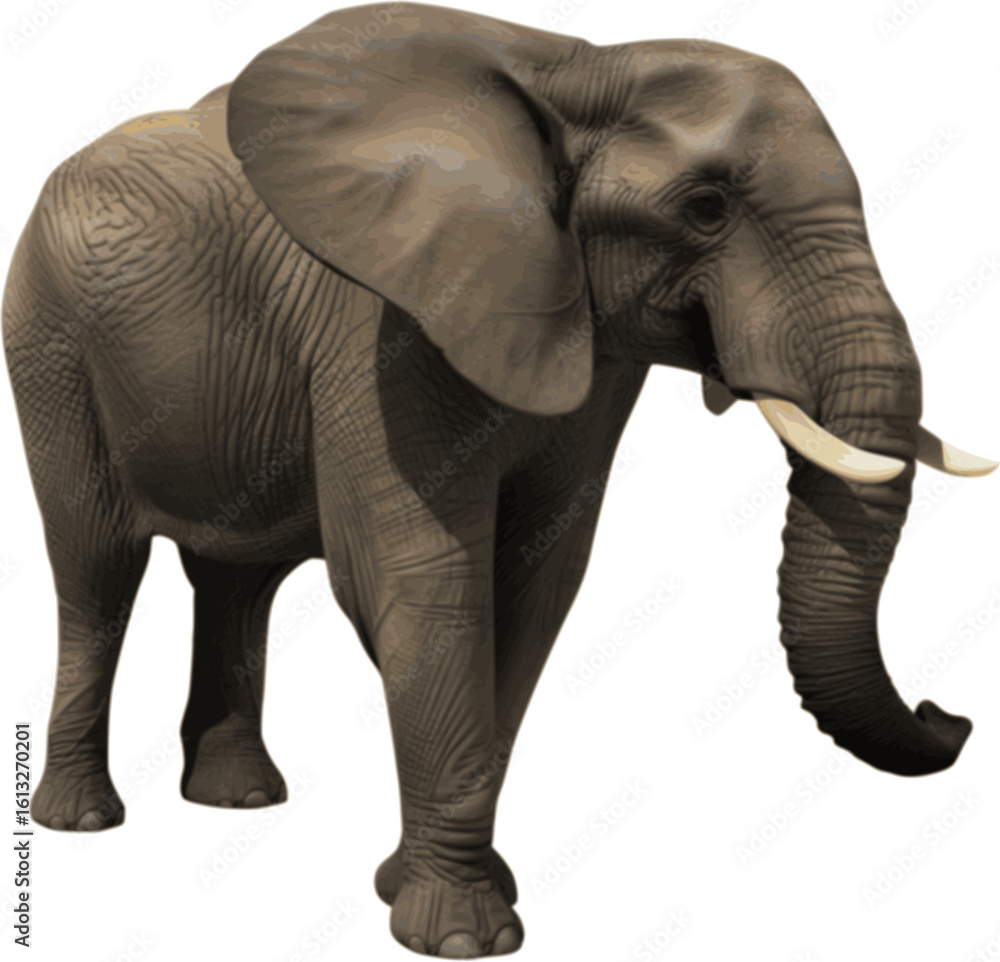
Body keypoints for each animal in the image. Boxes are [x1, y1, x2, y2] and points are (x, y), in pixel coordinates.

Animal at [3, 2, 996, 956]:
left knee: (234, 579)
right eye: (708, 208)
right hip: (47, 338)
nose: (950, 715)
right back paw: (83, 820)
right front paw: (460, 936)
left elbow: (533, 584)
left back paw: (239, 801)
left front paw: (417, 889)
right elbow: (423, 583)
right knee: (96, 569)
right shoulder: (381, 322)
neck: (578, 69)